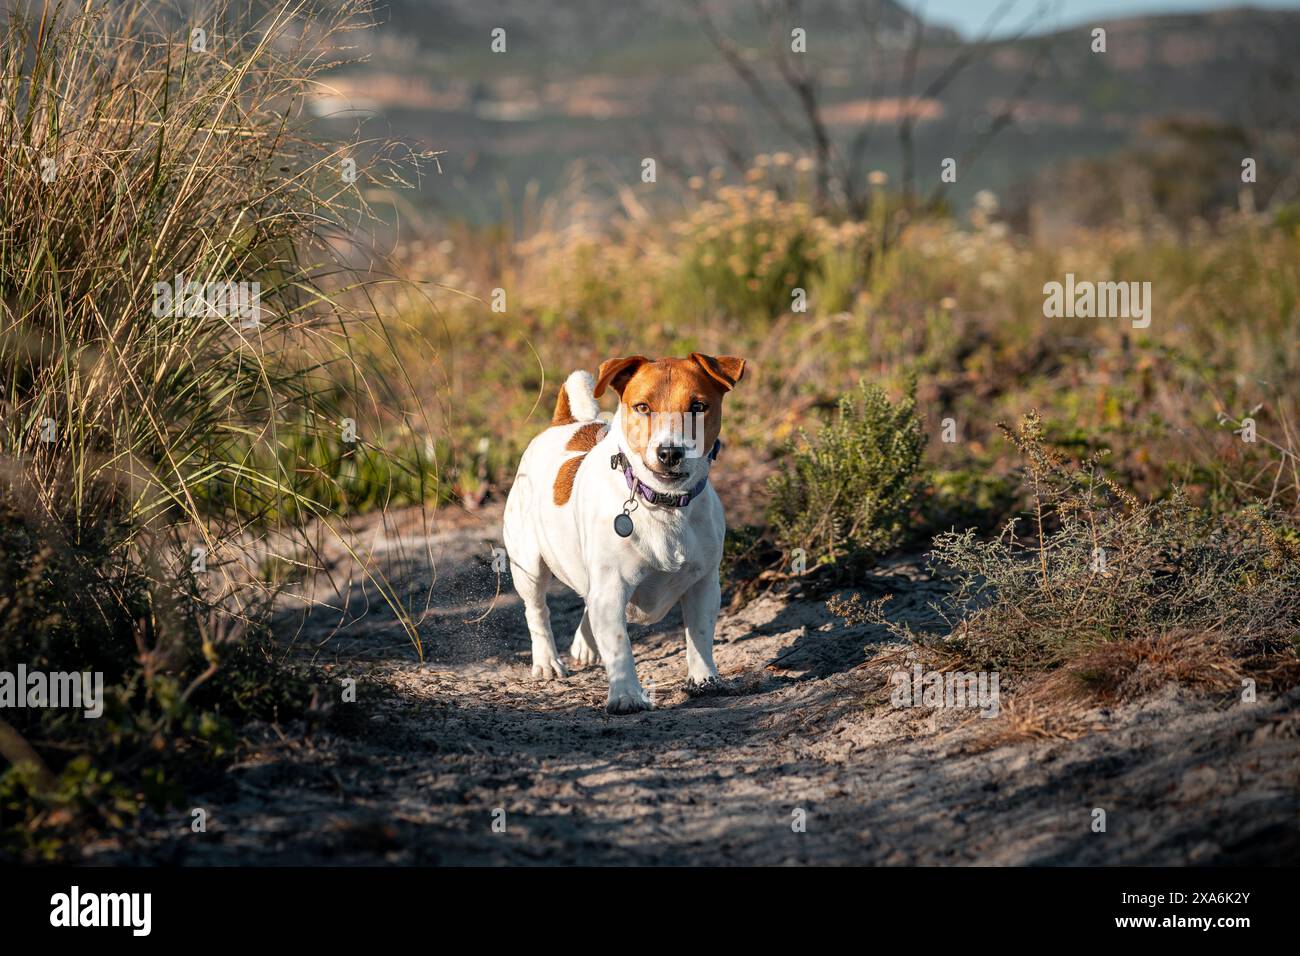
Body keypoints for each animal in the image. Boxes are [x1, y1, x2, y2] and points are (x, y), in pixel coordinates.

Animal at [501, 351, 748, 712]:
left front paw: (705, 681)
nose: (669, 453)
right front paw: (627, 694)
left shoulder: (703, 583)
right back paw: (547, 661)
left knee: (586, 601)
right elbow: (619, 646)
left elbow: (700, 636)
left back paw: (586, 643)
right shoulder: (612, 589)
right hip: (529, 567)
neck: (662, 503)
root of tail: (564, 423)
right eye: (642, 407)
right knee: (537, 611)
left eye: (698, 406)